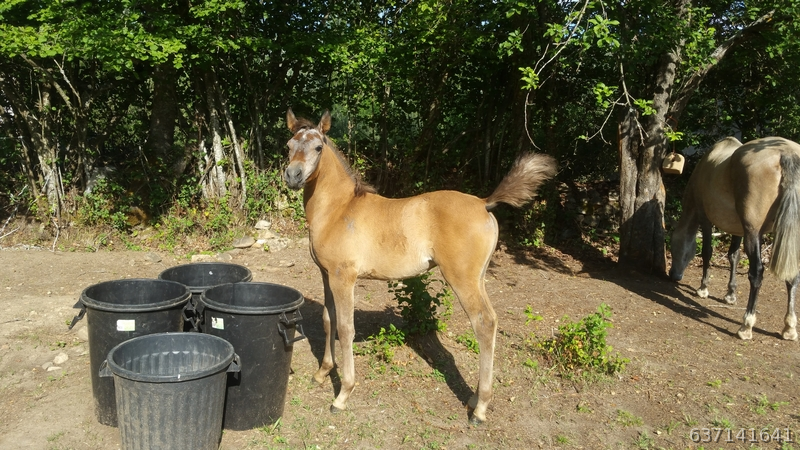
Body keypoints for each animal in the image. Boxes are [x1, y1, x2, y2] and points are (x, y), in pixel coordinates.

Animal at [282, 109, 557, 424]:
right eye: (288, 146)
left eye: (318, 147)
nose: (292, 175)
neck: (339, 210)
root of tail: (484, 203)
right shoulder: (327, 274)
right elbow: (328, 320)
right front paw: (323, 372)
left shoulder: (344, 277)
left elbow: (345, 327)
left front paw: (343, 394)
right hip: (478, 278)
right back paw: (475, 399)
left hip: (462, 279)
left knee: (484, 323)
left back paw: (480, 409)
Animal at [669, 136, 800, 341]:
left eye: (674, 248)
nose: (673, 275)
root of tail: (786, 153)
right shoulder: (739, 230)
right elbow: (733, 256)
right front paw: (730, 294)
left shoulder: (705, 219)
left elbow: (707, 252)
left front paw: (703, 288)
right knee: (792, 275)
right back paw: (789, 328)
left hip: (753, 232)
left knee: (756, 273)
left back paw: (746, 325)